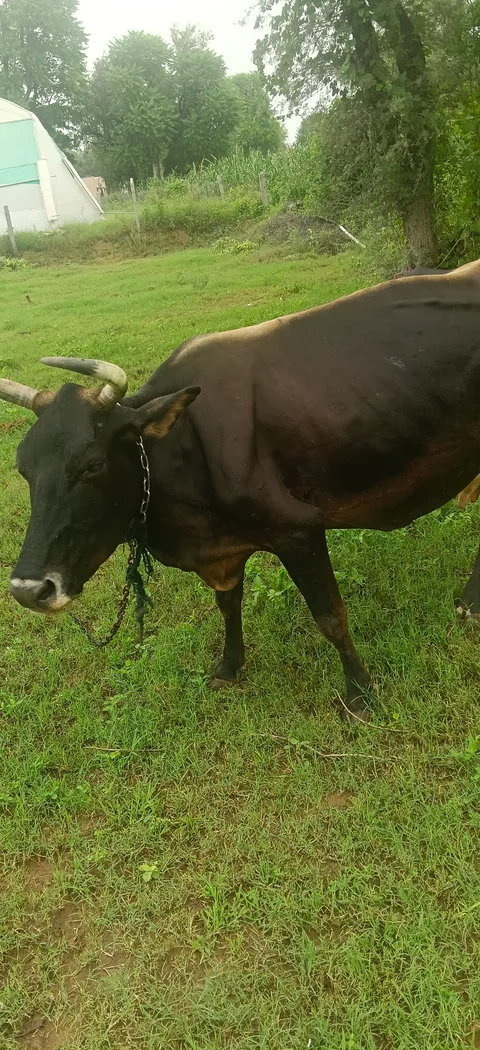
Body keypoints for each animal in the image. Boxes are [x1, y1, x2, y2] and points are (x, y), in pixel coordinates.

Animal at [2, 259, 480, 721]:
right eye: (23, 468)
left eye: (93, 465)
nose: (29, 590)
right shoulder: (224, 549)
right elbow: (228, 606)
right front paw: (229, 668)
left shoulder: (298, 530)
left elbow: (330, 616)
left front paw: (360, 694)